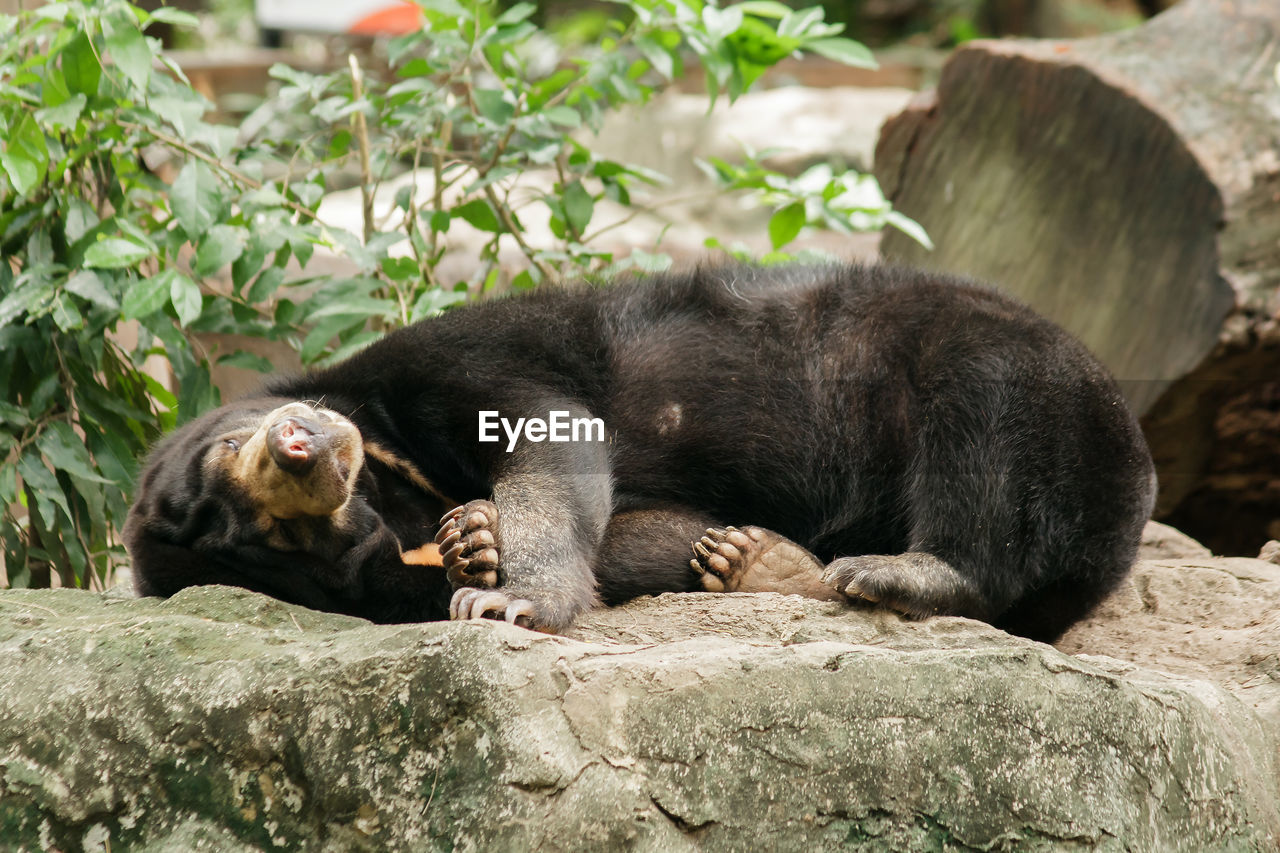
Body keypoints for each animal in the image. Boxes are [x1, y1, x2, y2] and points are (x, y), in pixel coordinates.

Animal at [124, 262, 1157, 640]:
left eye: (231, 447)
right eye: (280, 534)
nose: (301, 444)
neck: (395, 460)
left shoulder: (465, 356)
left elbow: (553, 434)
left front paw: (502, 589)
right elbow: (644, 531)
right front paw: (473, 545)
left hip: (1015, 371)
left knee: (980, 437)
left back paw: (900, 570)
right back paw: (762, 562)